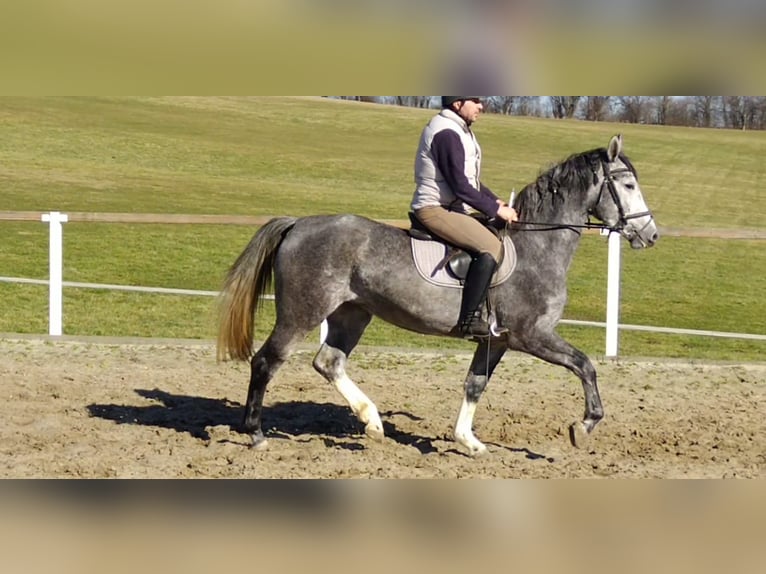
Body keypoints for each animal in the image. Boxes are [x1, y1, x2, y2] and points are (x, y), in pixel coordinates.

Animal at [216, 135, 660, 460]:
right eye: (628, 185)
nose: (651, 235)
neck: (538, 246)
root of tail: (299, 224)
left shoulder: (497, 340)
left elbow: (474, 385)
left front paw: (468, 441)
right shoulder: (531, 336)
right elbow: (585, 366)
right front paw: (583, 426)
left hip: (351, 314)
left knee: (328, 362)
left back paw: (372, 422)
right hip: (302, 313)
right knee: (266, 362)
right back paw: (256, 435)